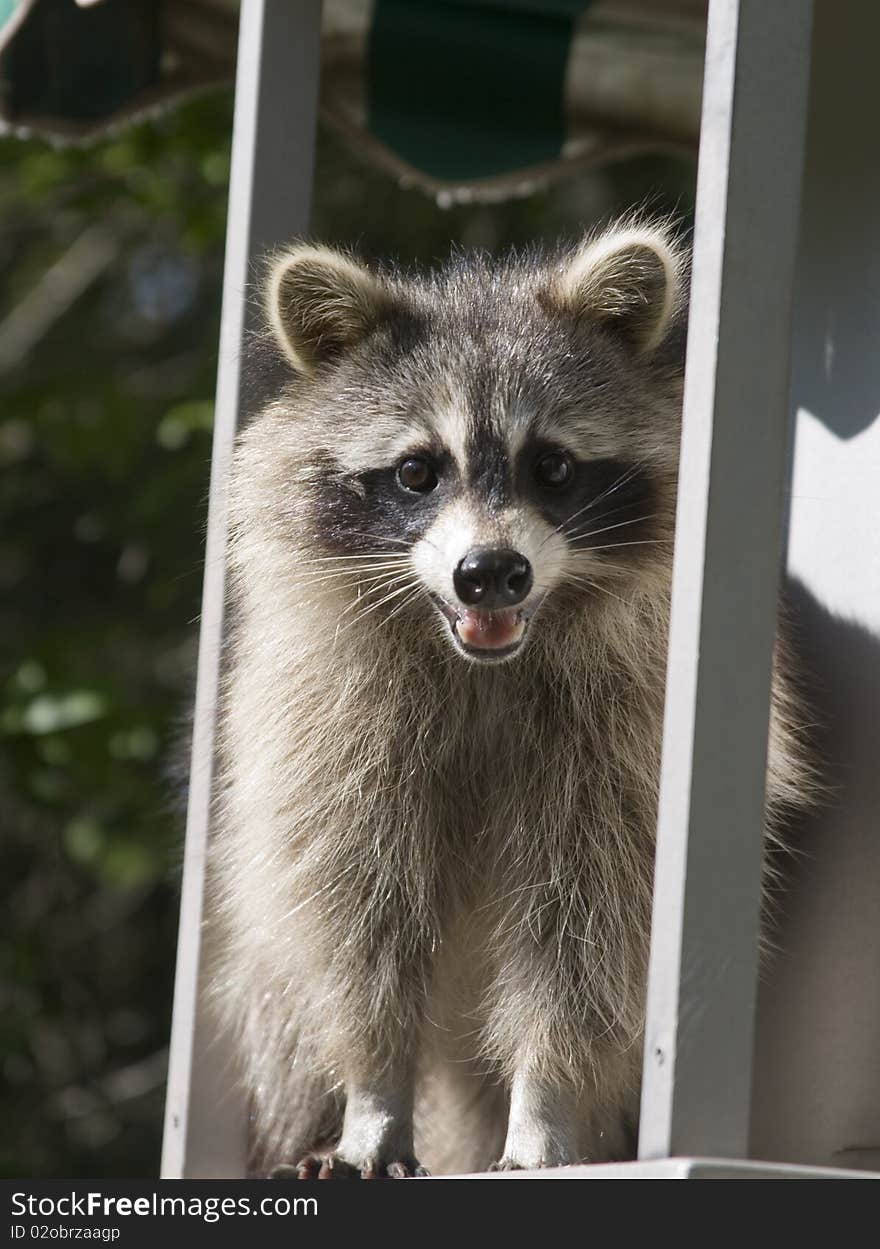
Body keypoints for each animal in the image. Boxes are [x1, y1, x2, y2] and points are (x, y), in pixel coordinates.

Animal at [209, 219, 813, 1174]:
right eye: (417, 472)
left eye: (554, 467)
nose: (490, 573)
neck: (484, 661)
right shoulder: (334, 729)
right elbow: (355, 926)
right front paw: (371, 1098)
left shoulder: (625, 743)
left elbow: (587, 938)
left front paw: (543, 1108)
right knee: (277, 980)